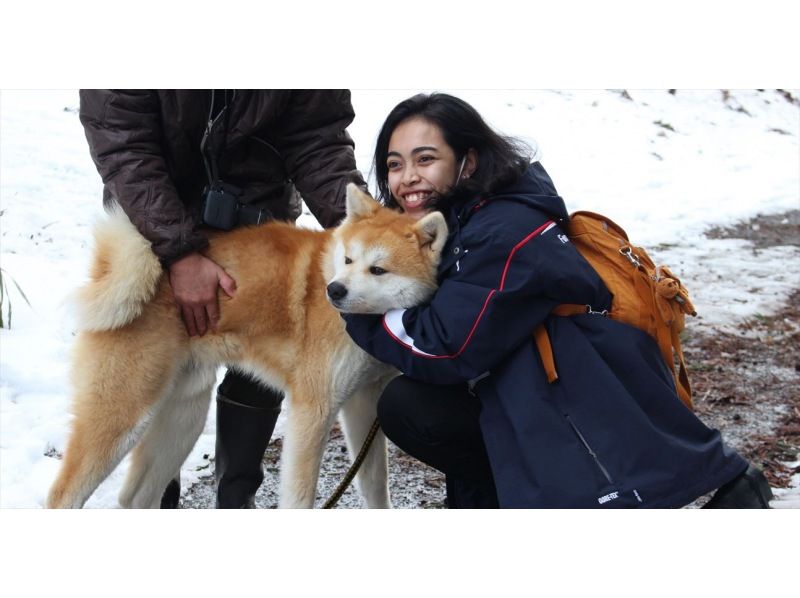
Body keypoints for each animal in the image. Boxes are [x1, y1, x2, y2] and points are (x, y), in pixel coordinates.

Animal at [47, 188, 446, 510]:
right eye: (348, 260)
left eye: (378, 270)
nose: (334, 290)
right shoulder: (313, 410)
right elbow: (299, 498)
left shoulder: (365, 401)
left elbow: (375, 486)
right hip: (123, 415)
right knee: (63, 496)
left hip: (184, 416)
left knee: (136, 497)